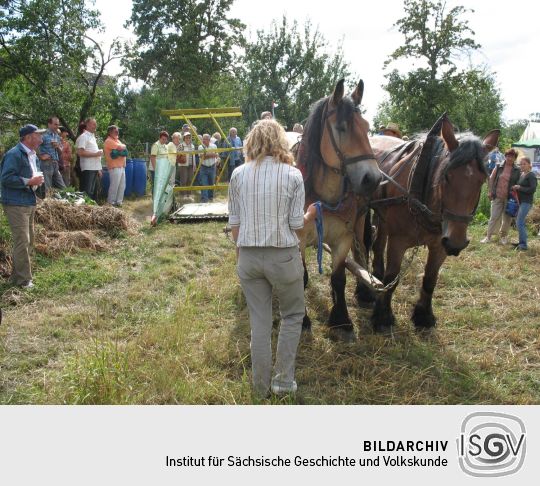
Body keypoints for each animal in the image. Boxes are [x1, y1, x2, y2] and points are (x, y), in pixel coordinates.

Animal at [298, 79, 382, 342]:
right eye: (341, 127)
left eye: (367, 127)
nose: (373, 179)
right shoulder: (296, 239)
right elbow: (300, 276)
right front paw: (303, 320)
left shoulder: (343, 237)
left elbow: (338, 277)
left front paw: (341, 320)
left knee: (361, 252)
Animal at [356, 114, 500, 334]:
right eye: (446, 176)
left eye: (482, 179)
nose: (456, 243)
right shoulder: (398, 241)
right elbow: (393, 276)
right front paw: (383, 316)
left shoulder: (440, 245)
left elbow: (430, 279)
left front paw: (423, 316)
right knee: (364, 245)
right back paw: (365, 290)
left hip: (383, 216)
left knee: (378, 245)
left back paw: (376, 277)